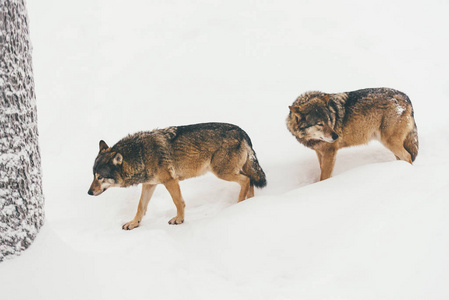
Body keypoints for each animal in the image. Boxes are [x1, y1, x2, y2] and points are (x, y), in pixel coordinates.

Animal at [86, 122, 266, 230]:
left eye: (100, 177)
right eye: (93, 175)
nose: (89, 192)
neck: (140, 155)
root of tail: (243, 132)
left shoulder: (170, 181)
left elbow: (178, 202)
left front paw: (179, 220)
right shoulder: (149, 184)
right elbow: (140, 207)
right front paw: (133, 223)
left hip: (221, 172)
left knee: (246, 180)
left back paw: (238, 205)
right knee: (250, 181)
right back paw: (248, 204)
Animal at [286, 86, 418, 180]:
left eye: (329, 120)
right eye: (319, 124)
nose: (336, 136)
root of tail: (405, 97)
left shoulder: (330, 152)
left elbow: (324, 176)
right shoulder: (320, 152)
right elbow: (322, 169)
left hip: (390, 142)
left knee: (407, 156)